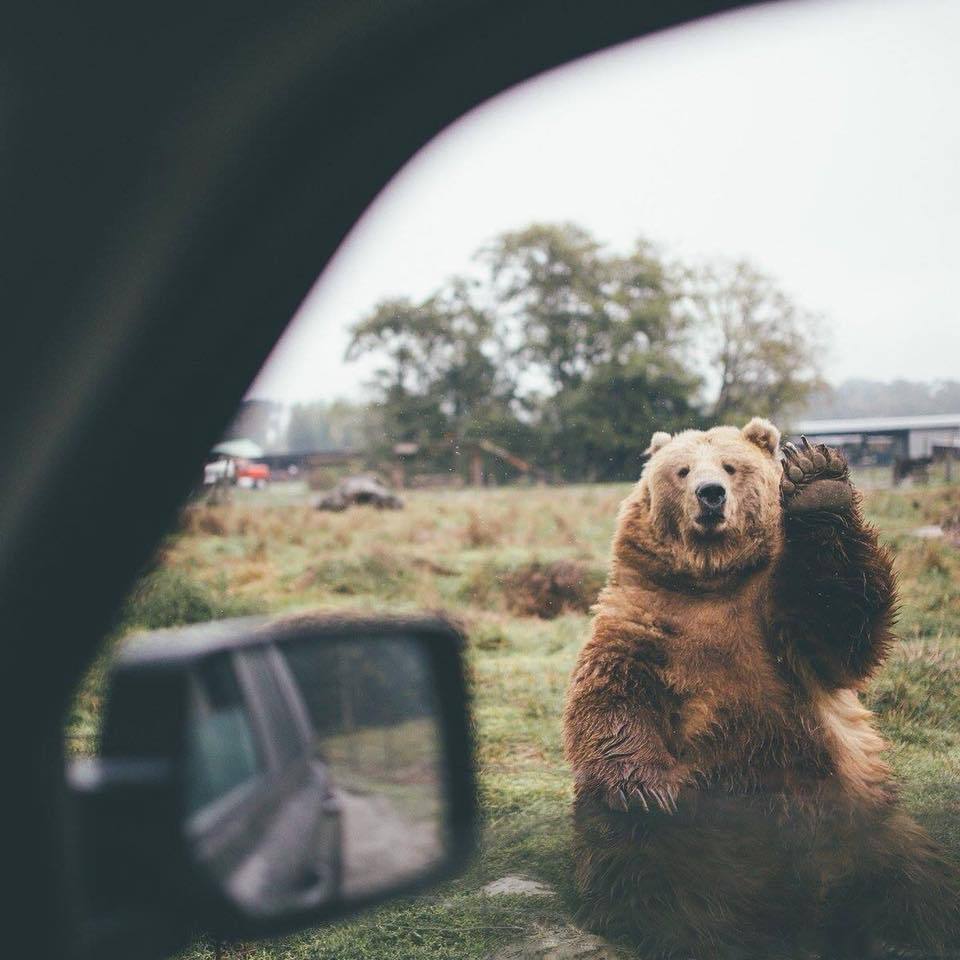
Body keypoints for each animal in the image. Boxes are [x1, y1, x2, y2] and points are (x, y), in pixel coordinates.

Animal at [562, 418, 960, 959]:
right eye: (682, 470)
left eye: (731, 466)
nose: (710, 494)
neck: (712, 580)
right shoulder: (645, 621)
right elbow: (611, 694)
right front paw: (647, 788)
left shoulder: (779, 624)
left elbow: (839, 621)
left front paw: (818, 480)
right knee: (641, 862)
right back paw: (687, 928)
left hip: (866, 820)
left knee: (914, 882)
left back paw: (902, 937)